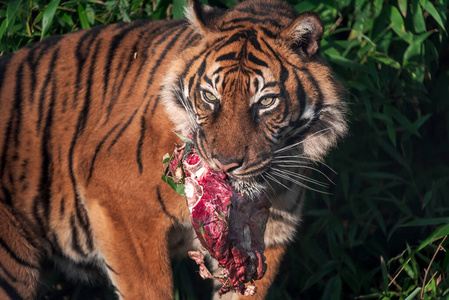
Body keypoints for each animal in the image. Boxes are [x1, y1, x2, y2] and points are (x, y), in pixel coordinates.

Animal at [0, 0, 346, 298]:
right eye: (209, 96)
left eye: (266, 101)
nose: (224, 164)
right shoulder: (121, 205)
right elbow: (150, 289)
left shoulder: (269, 235)